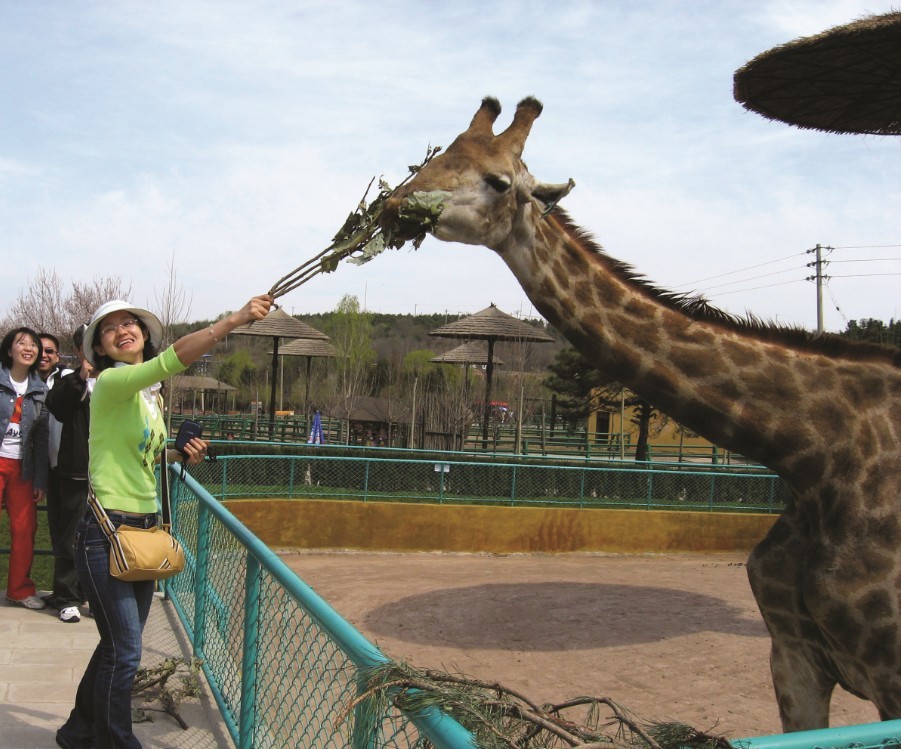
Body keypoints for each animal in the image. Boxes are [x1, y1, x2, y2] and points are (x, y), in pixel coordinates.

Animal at [378, 95, 900, 732]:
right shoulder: (794, 656)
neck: (814, 453)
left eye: (498, 180)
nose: (392, 205)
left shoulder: (888, 671)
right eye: (434, 157)